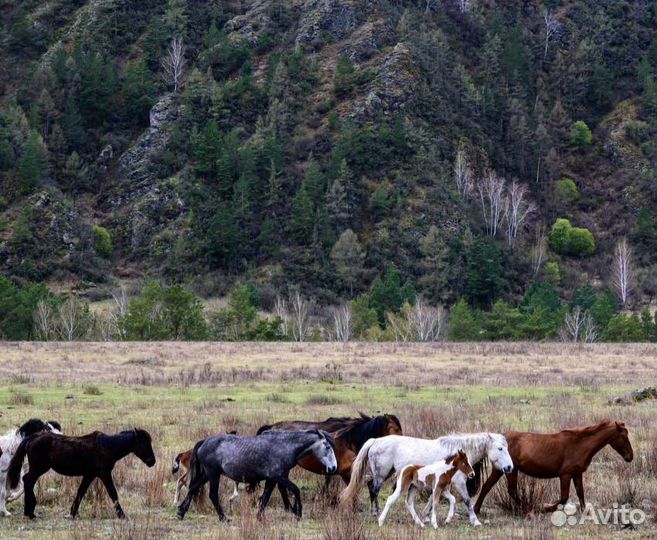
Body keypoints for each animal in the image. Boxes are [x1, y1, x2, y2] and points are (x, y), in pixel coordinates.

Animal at [8, 426, 154, 520]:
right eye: (144, 443)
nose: (152, 461)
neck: (107, 446)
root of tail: (32, 438)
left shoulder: (89, 475)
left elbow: (81, 492)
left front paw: (73, 513)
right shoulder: (104, 474)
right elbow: (113, 493)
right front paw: (122, 515)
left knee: (27, 481)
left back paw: (29, 511)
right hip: (38, 469)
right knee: (28, 482)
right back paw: (30, 513)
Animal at [177, 430, 336, 520]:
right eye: (327, 446)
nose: (333, 468)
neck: (283, 446)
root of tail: (204, 441)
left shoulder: (272, 480)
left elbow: (265, 497)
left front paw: (259, 517)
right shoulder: (278, 477)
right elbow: (295, 490)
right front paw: (298, 512)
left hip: (207, 475)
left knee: (192, 488)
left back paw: (181, 513)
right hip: (213, 475)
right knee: (213, 495)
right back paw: (223, 518)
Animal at [338, 432, 512, 524]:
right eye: (500, 448)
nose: (509, 467)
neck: (457, 457)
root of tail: (375, 440)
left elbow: (431, 499)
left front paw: (426, 517)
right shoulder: (459, 482)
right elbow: (468, 500)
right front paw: (475, 521)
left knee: (370, 486)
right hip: (382, 474)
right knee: (374, 490)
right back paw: (376, 514)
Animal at [472, 422, 632, 516]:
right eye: (624, 437)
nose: (630, 457)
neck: (579, 444)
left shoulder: (577, 473)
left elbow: (580, 493)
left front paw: (584, 512)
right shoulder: (565, 475)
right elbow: (563, 498)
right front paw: (545, 509)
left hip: (504, 470)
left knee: (487, 487)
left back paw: (477, 510)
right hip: (508, 470)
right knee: (510, 491)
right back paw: (527, 510)